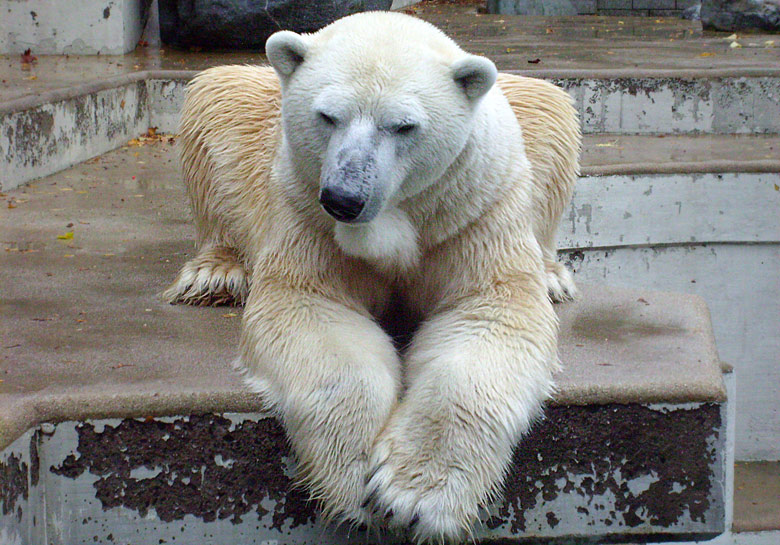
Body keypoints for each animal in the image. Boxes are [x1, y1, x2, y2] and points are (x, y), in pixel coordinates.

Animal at [165, 9, 580, 544]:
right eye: (327, 116)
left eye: (403, 126)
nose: (344, 197)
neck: (395, 218)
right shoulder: (307, 211)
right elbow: (312, 307)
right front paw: (355, 477)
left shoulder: (470, 211)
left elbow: (490, 310)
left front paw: (411, 497)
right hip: (249, 128)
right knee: (215, 99)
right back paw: (215, 275)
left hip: (525, 131)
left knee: (549, 109)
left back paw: (552, 276)